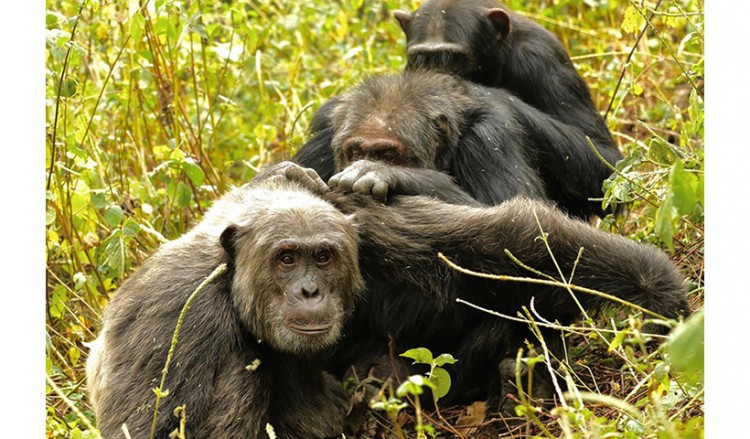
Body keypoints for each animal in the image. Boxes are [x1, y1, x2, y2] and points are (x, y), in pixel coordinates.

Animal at [87, 164, 368, 439]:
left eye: (323, 257)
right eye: (287, 259)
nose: (309, 290)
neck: (230, 283)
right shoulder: (179, 316)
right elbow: (147, 428)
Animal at [296, 71, 624, 220]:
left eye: (387, 154)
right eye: (355, 151)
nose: (360, 162)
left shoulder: (489, 138)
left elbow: (524, 218)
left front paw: (381, 174)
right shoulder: (324, 136)